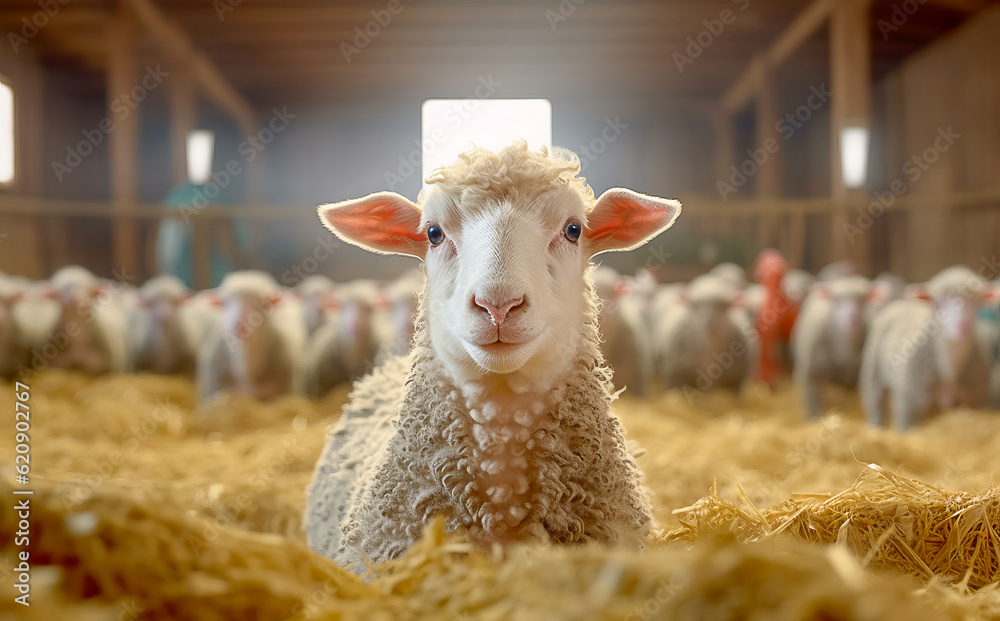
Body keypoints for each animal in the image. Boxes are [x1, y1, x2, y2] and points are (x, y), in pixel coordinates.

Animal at [791, 276, 873, 419]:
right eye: (836, 300)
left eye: (864, 299)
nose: (854, 317)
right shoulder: (810, 373)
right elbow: (812, 401)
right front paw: (814, 419)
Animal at [859, 266, 997, 430]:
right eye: (938, 303)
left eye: (977, 302)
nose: (964, 326)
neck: (949, 372)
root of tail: (900, 303)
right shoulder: (910, 401)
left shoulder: (977, 399)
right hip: (873, 366)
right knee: (874, 397)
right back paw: (876, 428)